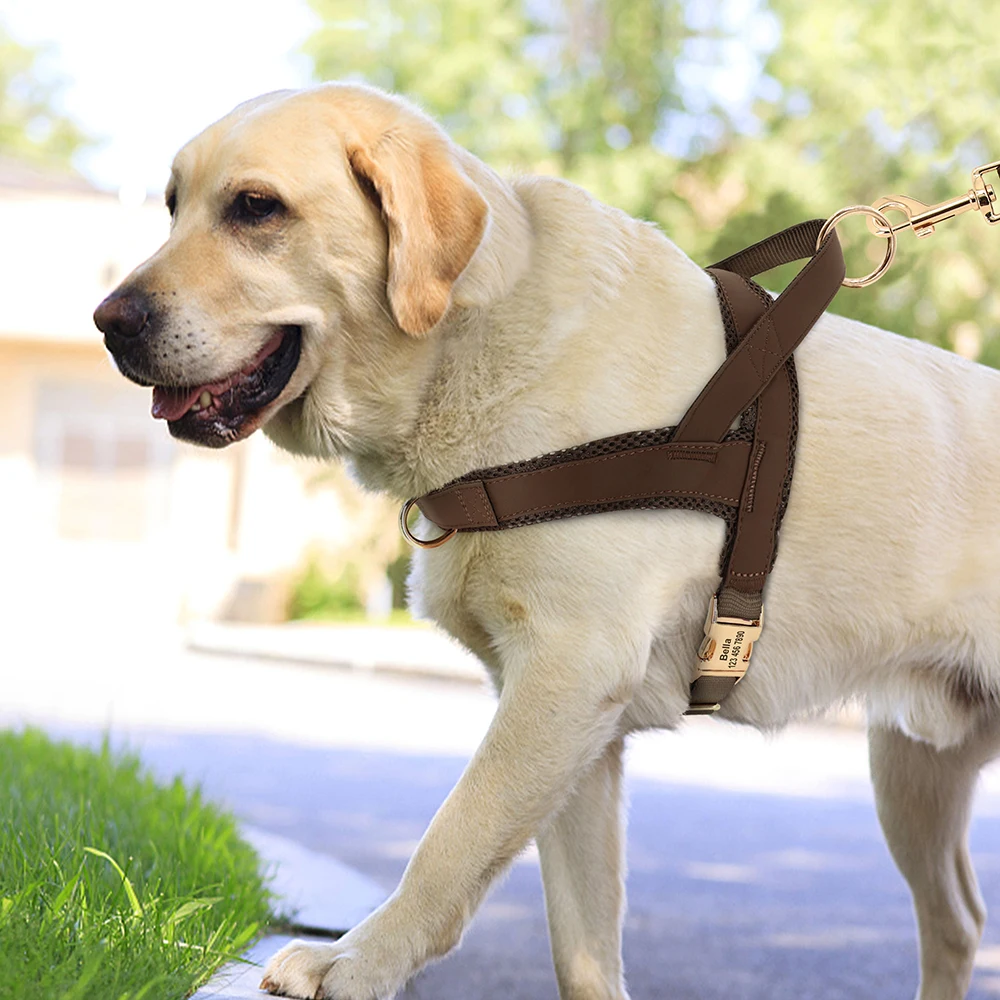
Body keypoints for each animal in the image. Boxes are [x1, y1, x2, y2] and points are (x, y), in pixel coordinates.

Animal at [94, 82, 1000, 996]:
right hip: (911, 771)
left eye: (255, 207)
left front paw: (357, 959)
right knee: (957, 922)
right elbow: (581, 943)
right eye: (172, 205)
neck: (470, 345)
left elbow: (451, 838)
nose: (107, 320)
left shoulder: (567, 672)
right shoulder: (577, 734)